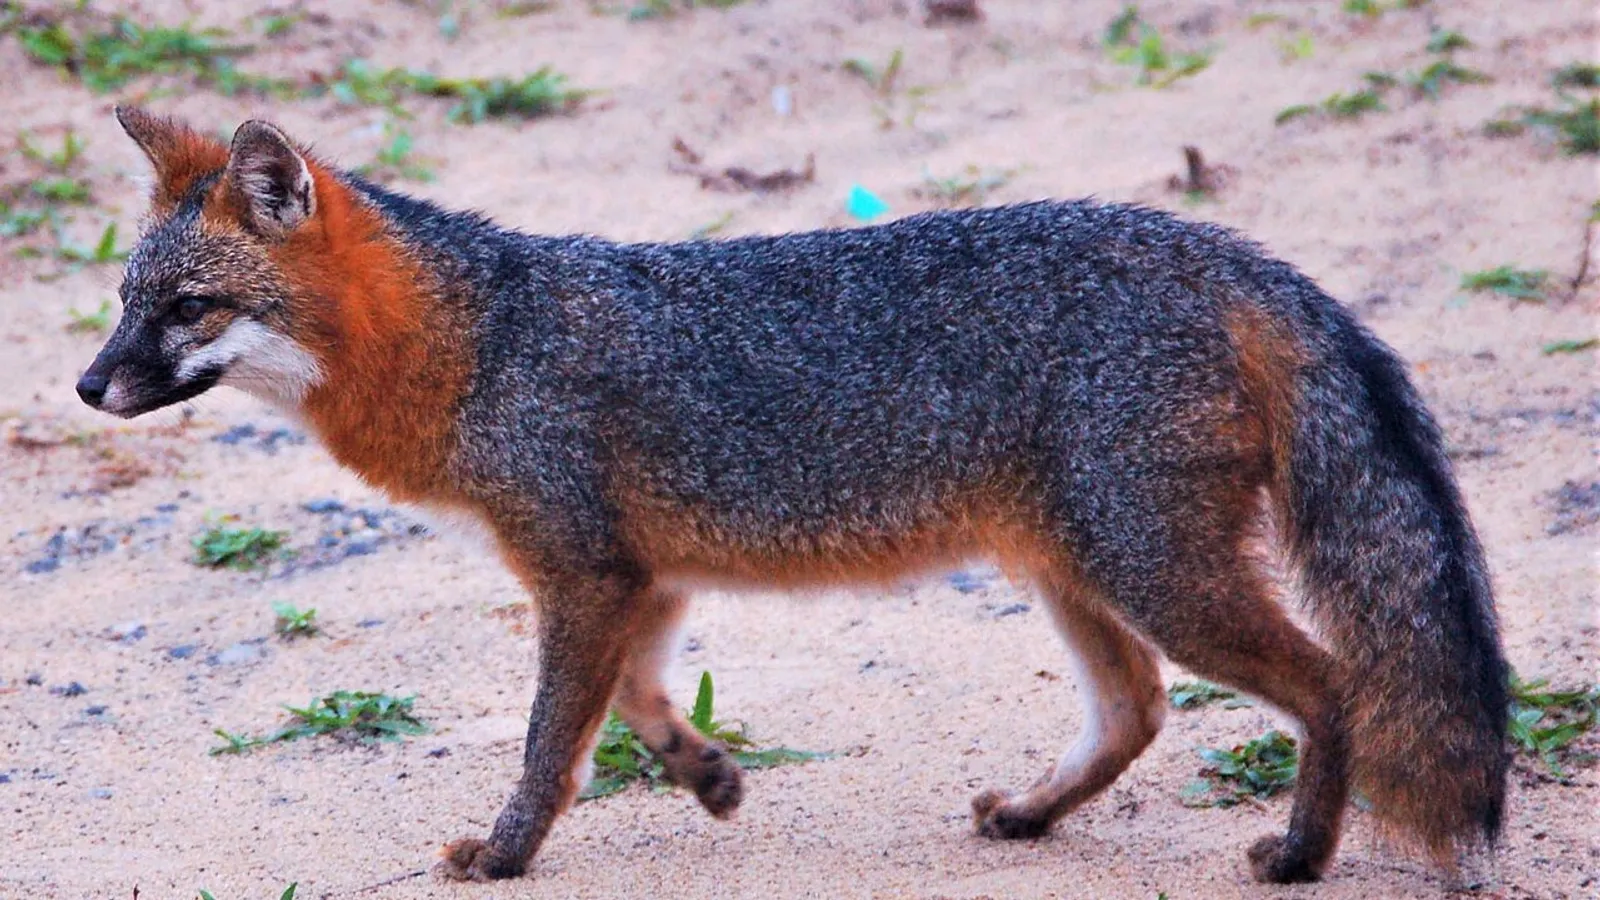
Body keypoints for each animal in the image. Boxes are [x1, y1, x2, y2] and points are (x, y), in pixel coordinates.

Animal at [78, 108, 1509, 885]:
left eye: (187, 308)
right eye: (121, 303)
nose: (88, 386)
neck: (483, 341)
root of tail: (1217, 244)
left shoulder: (580, 574)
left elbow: (547, 745)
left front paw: (505, 854)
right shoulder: (637, 577)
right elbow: (641, 703)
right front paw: (708, 777)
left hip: (1150, 570)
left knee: (1331, 682)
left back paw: (1300, 858)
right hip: (1076, 569)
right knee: (1137, 710)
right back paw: (1030, 816)